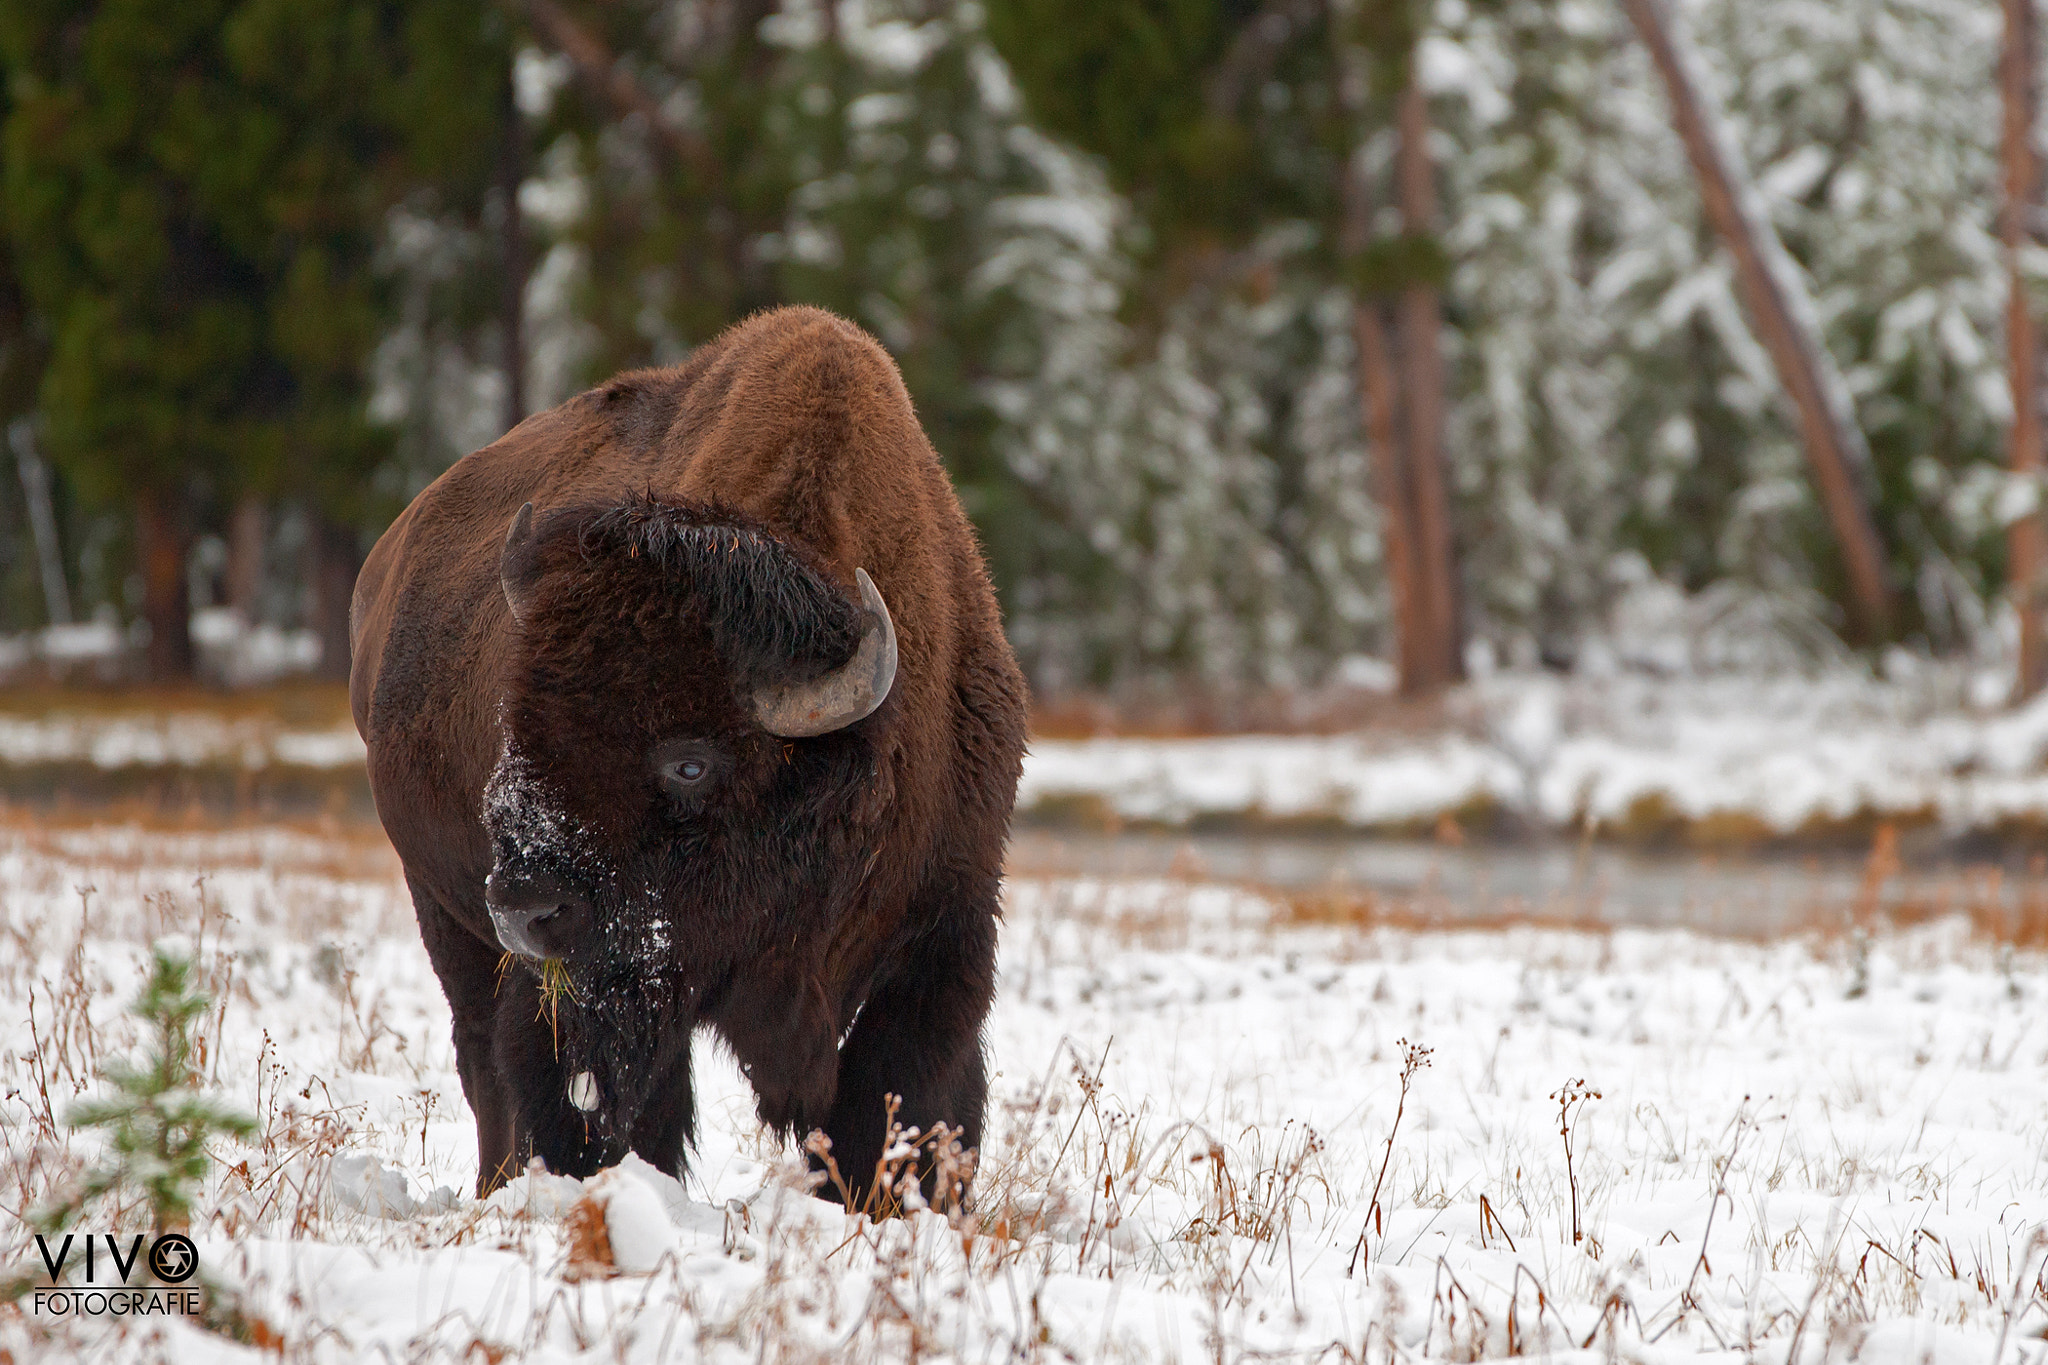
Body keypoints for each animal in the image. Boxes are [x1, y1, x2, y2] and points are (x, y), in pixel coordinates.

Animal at [352, 304, 1032, 1203]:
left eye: (690, 761)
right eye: (518, 723)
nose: (526, 907)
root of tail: (385, 560)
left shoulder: (945, 929)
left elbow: (901, 1094)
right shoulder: (581, 988)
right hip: (441, 905)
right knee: (482, 1060)